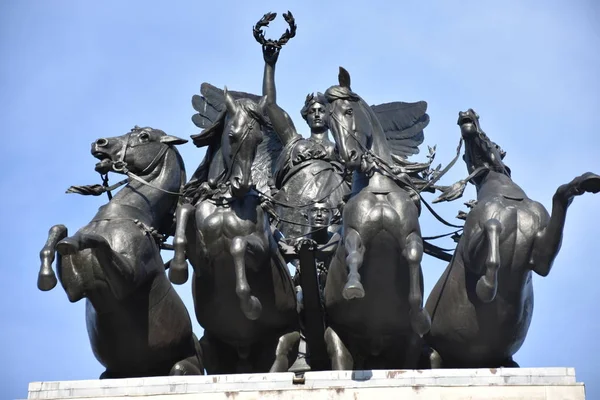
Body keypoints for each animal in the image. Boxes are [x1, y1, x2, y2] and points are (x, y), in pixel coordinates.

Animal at [166, 89, 298, 374]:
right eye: (231, 136)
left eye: (258, 139)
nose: (242, 184)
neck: (226, 201)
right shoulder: (202, 259)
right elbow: (185, 211)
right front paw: (178, 269)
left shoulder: (261, 250)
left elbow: (238, 245)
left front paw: (251, 304)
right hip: (213, 345)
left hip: (286, 336)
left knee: (281, 353)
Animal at [324, 69, 432, 368]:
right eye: (328, 124)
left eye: (349, 110)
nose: (350, 157)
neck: (379, 187)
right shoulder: (354, 231)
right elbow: (353, 252)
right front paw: (353, 286)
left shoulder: (410, 235)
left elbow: (413, 256)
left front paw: (419, 316)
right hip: (336, 336)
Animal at [426, 110, 600, 368]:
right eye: (466, 155)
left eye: (496, 144)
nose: (467, 115)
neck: (508, 198)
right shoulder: (471, 255)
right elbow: (493, 225)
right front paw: (486, 286)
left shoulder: (541, 259)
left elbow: (560, 194)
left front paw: (586, 181)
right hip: (432, 355)